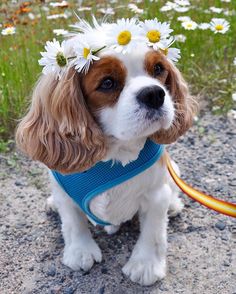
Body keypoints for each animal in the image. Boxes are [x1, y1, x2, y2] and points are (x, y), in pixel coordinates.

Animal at [16, 36, 195, 284]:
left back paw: (174, 205)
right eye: (107, 83)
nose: (154, 93)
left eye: (159, 69)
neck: (115, 156)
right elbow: (73, 222)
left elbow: (153, 231)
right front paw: (80, 251)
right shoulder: (64, 191)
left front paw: (146, 265)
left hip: (174, 170)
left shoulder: (156, 195)